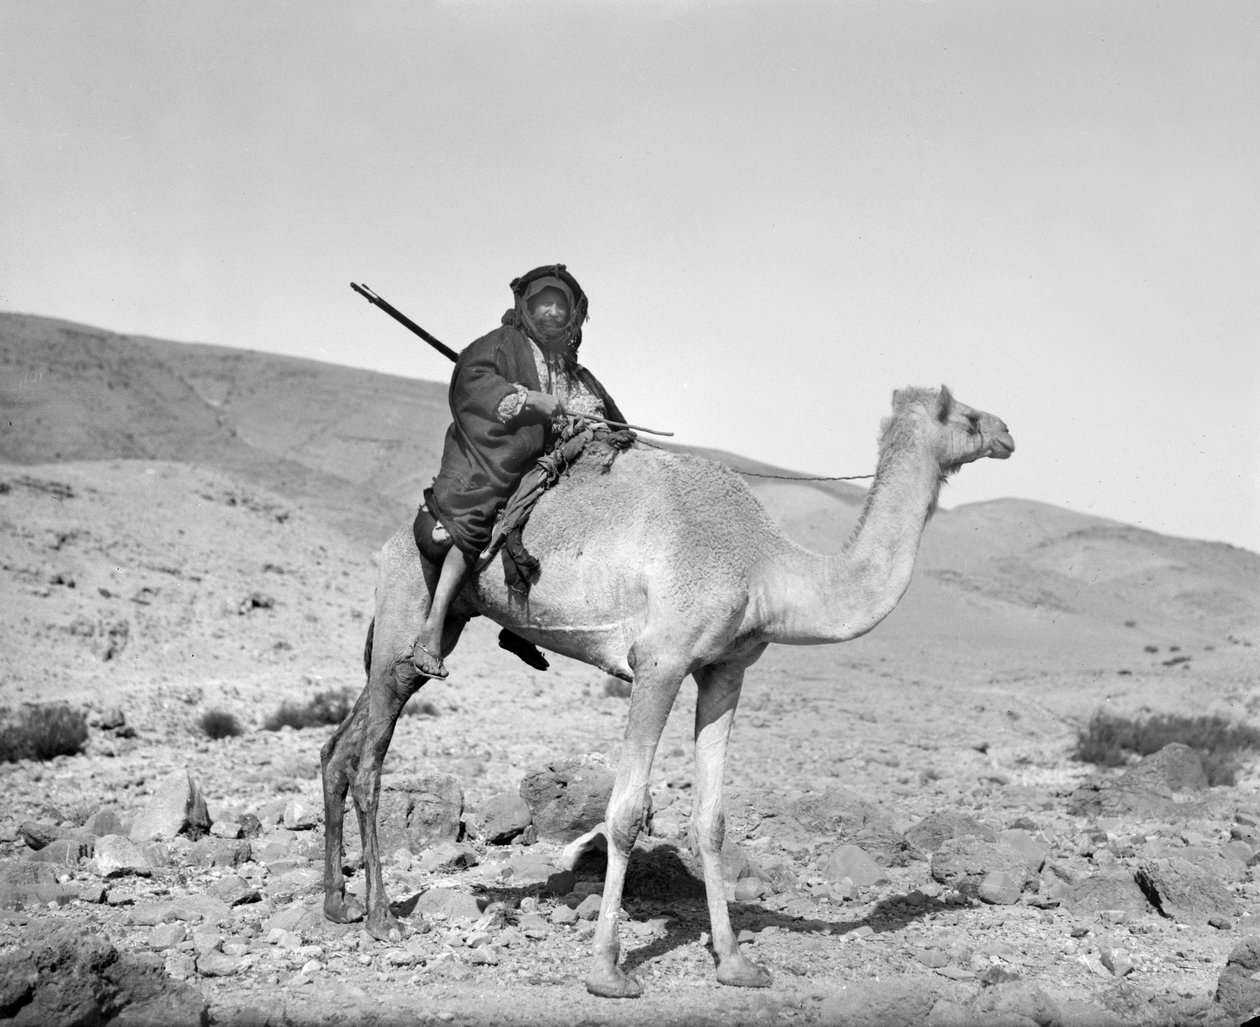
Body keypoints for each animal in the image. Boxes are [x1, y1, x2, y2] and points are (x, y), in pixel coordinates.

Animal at [322, 383, 1013, 998]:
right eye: (967, 415)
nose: (1007, 433)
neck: (767, 567)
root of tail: (394, 540)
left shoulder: (726, 669)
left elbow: (711, 818)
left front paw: (735, 963)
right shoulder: (660, 659)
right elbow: (626, 811)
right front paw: (607, 971)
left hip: (415, 641)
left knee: (339, 748)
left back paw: (336, 905)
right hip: (408, 611)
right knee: (369, 760)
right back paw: (381, 919)